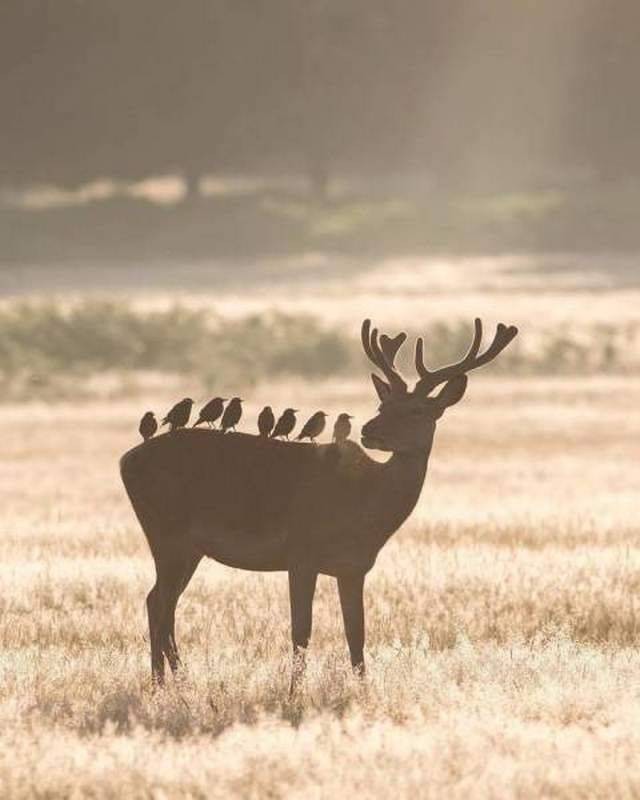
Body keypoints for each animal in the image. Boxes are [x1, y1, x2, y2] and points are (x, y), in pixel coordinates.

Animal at [120, 316, 516, 692]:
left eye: (418, 410)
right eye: (383, 403)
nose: (369, 430)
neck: (367, 509)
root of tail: (125, 461)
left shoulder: (354, 567)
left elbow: (356, 634)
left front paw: (362, 692)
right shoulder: (301, 552)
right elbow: (302, 631)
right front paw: (294, 694)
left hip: (187, 547)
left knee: (159, 603)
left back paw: (168, 683)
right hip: (167, 534)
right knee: (160, 604)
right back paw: (169, 684)